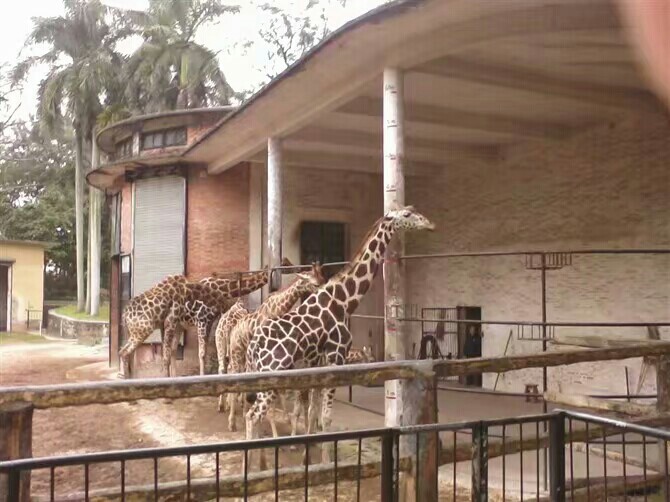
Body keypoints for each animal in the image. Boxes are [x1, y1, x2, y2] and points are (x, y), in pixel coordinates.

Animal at [218, 262, 328, 432]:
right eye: (316, 284)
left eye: (324, 279)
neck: (277, 309)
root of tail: (233, 330)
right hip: (237, 352)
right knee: (231, 373)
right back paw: (232, 420)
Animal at [245, 205, 436, 466]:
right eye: (407, 215)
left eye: (413, 210)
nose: (430, 225)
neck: (345, 300)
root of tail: (253, 346)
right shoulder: (336, 356)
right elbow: (326, 417)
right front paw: (326, 462)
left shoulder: (318, 362)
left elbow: (313, 412)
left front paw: (308, 457)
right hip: (272, 371)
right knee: (253, 414)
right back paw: (255, 466)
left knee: (255, 413)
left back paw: (260, 464)